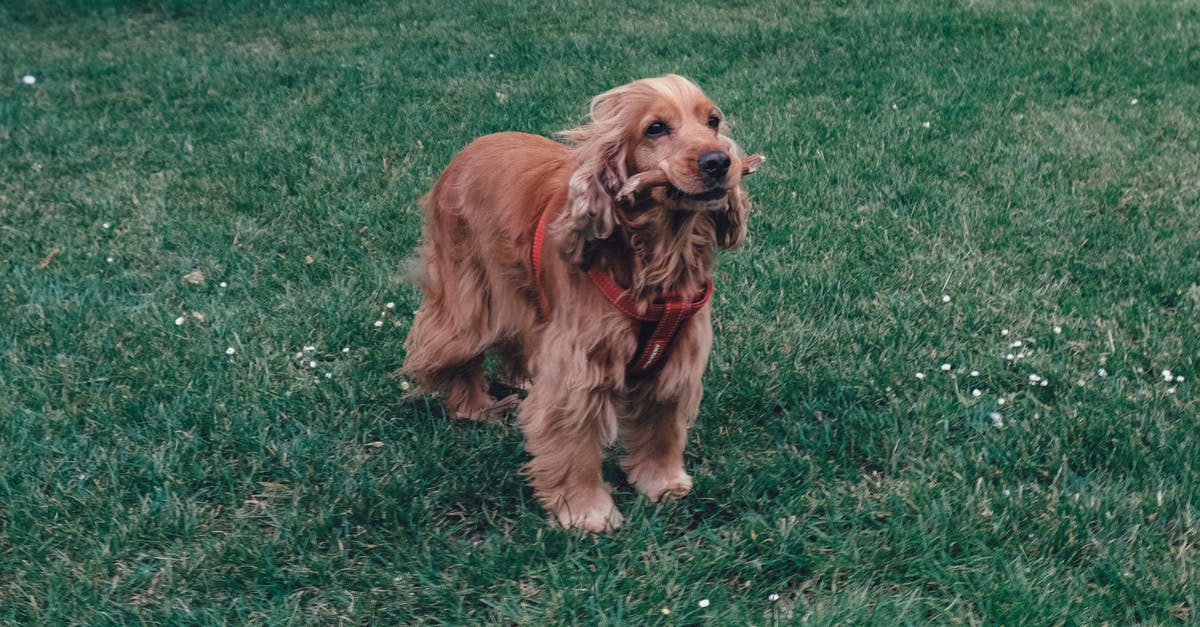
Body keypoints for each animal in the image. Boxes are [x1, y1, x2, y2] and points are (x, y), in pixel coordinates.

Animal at [403, 74, 758, 530]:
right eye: (655, 128)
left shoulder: (676, 353)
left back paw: (520, 378)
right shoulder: (578, 368)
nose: (719, 162)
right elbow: (574, 444)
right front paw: (586, 512)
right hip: (469, 298)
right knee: (455, 348)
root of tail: (470, 148)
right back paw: (476, 407)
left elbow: (662, 425)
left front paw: (662, 482)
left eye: (712, 121)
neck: (657, 255)